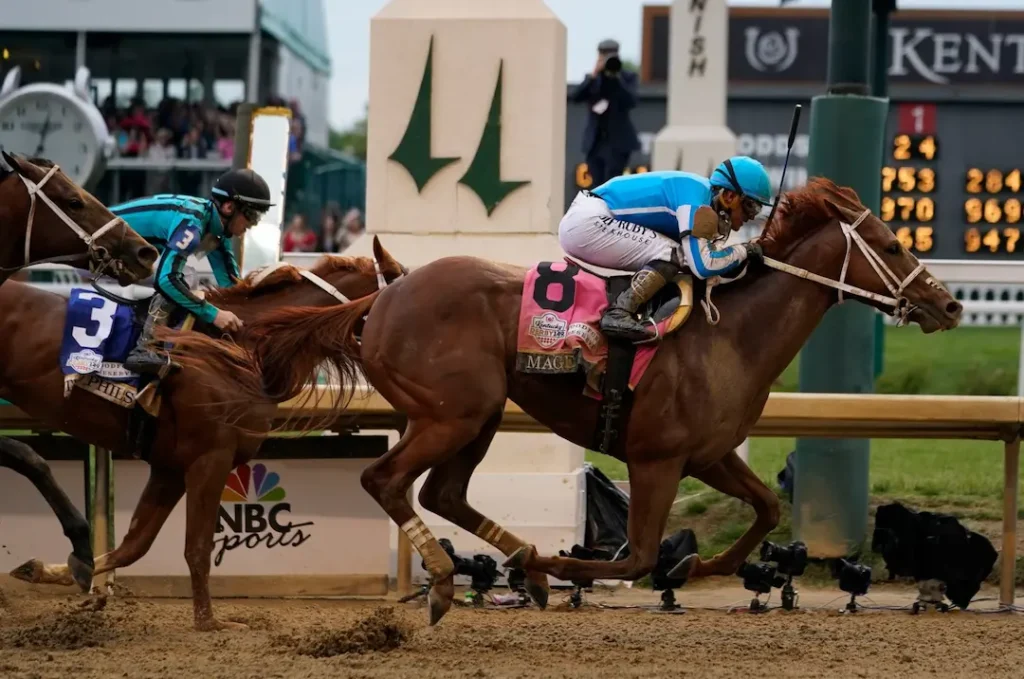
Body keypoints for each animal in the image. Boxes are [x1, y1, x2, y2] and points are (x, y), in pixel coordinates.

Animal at [3, 236, 406, 631]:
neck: (240, 348)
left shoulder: (168, 467)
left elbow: (135, 544)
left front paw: (56, 569)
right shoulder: (210, 457)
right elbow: (197, 546)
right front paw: (209, 621)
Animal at [163, 177, 963, 626]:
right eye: (894, 245)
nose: (950, 302)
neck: (729, 333)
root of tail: (385, 296)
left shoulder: (707, 454)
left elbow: (765, 509)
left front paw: (696, 568)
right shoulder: (656, 458)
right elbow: (635, 555)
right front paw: (568, 567)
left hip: (480, 413)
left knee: (445, 493)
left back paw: (519, 564)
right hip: (453, 411)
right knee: (386, 480)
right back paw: (457, 579)